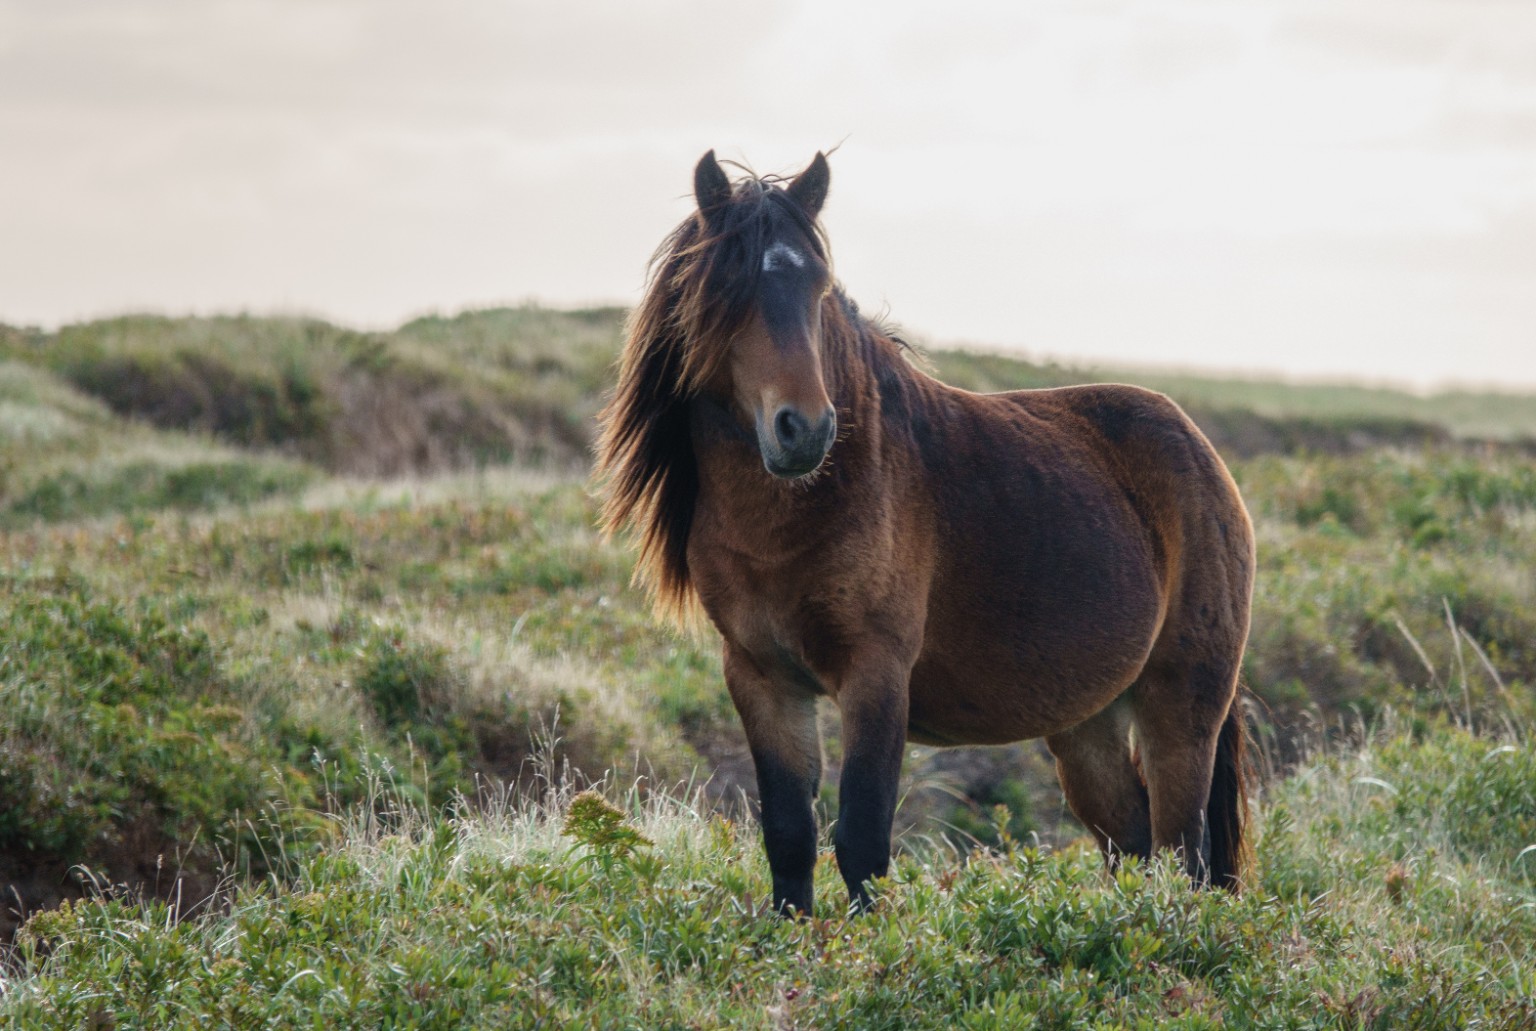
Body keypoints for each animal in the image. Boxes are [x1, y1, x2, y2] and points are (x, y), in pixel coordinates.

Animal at [596, 150, 1255, 917]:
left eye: (818, 286)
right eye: (729, 286)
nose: (804, 429)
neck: (799, 515)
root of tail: (1201, 451)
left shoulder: (876, 674)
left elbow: (862, 839)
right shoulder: (761, 677)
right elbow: (789, 835)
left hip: (1181, 704)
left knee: (1185, 854)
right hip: (1087, 722)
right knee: (1136, 842)